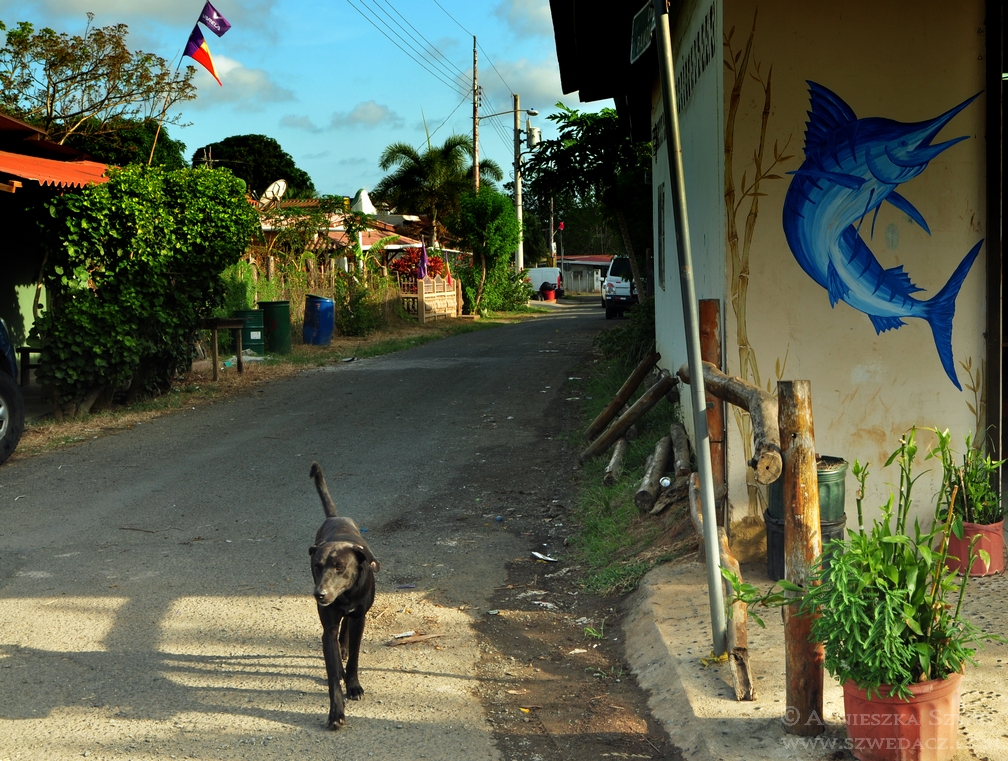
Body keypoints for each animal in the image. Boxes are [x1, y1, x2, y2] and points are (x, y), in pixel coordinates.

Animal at [308, 461, 380, 729]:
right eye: (317, 566)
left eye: (339, 567)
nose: (319, 594)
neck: (345, 596)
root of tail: (334, 517)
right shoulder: (328, 626)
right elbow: (331, 672)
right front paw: (336, 713)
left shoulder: (360, 618)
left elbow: (355, 656)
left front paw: (354, 685)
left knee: (346, 630)